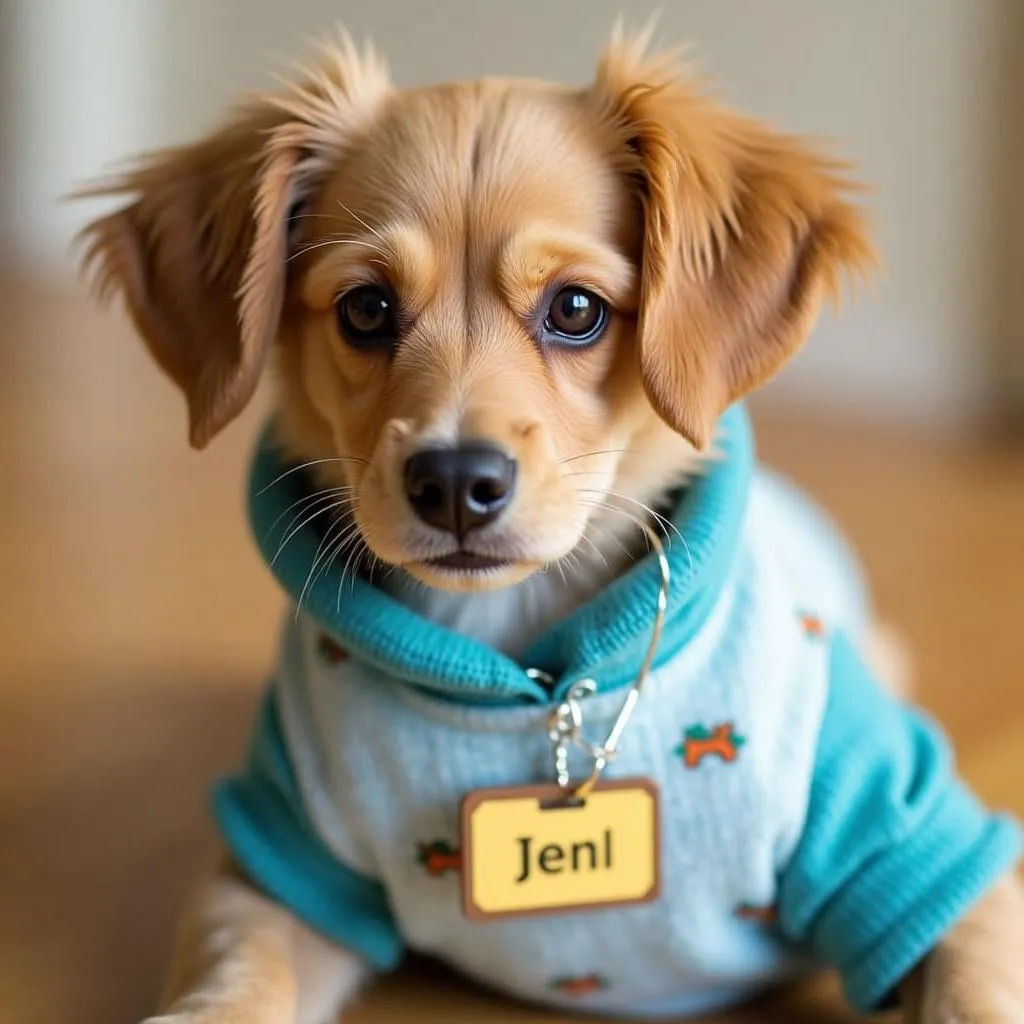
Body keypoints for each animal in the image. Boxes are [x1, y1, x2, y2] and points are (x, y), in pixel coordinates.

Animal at [79, 28, 1024, 1024]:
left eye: (576, 309)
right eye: (366, 309)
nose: (456, 482)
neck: (521, 657)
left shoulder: (928, 859)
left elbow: (973, 992)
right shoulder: (275, 864)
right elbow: (231, 982)